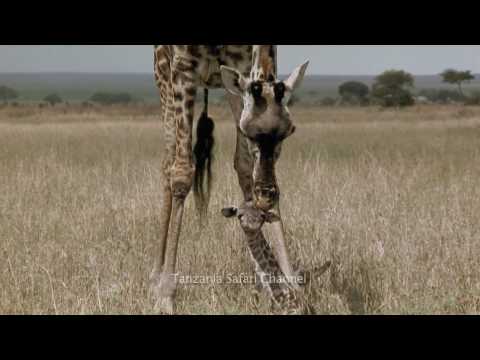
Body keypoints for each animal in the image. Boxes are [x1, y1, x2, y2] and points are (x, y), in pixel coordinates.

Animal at [151, 45, 308, 316]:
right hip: (163, 76)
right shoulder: (183, 68)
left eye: (290, 131)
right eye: (247, 131)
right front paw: (165, 297)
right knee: (168, 163)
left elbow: (247, 168)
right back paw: (155, 276)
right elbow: (182, 173)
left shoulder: (243, 69)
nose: (266, 195)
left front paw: (284, 285)